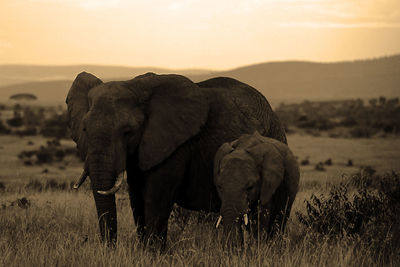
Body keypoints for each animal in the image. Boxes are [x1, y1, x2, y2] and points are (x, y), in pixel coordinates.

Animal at [65, 72, 286, 250]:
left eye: (128, 132)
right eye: (84, 129)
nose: (110, 249)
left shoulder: (175, 146)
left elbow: (156, 198)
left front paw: (152, 255)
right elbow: (136, 198)